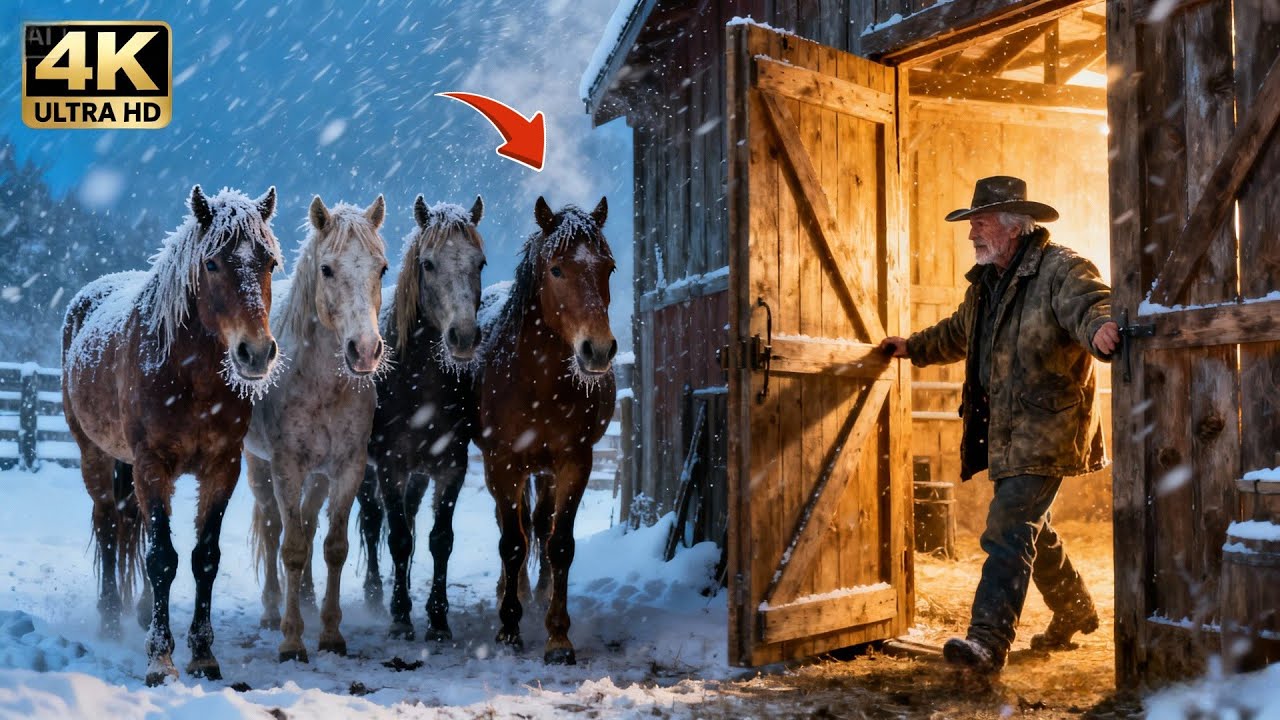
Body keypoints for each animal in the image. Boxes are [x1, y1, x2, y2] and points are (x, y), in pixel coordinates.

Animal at [62, 185, 282, 685]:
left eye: (269, 263)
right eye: (212, 263)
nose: (256, 352)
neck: (191, 375)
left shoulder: (223, 466)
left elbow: (204, 557)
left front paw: (203, 655)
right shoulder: (151, 464)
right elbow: (162, 558)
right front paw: (161, 661)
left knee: (134, 526)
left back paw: (141, 612)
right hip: (94, 457)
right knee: (109, 525)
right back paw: (110, 618)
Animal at [242, 195, 389, 663]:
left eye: (381, 267)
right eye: (327, 269)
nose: (365, 350)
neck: (321, 384)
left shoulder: (347, 470)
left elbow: (332, 547)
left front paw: (330, 633)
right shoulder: (287, 467)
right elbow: (289, 547)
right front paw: (292, 639)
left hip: (318, 477)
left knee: (306, 524)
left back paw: (304, 597)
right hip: (258, 467)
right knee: (274, 528)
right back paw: (273, 611)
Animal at [355, 194, 486, 642]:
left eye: (480, 263)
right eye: (428, 264)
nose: (463, 337)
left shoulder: (451, 467)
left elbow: (438, 539)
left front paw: (438, 619)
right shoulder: (389, 466)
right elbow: (396, 537)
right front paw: (399, 617)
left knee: (411, 520)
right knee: (373, 521)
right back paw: (376, 595)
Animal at [476, 196, 617, 665]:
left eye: (609, 268)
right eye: (556, 269)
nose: (598, 350)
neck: (537, 382)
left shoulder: (575, 462)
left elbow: (559, 544)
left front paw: (558, 636)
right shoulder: (502, 463)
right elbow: (512, 543)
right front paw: (508, 628)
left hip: (547, 470)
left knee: (539, 523)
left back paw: (536, 596)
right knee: (516, 526)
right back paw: (513, 592)